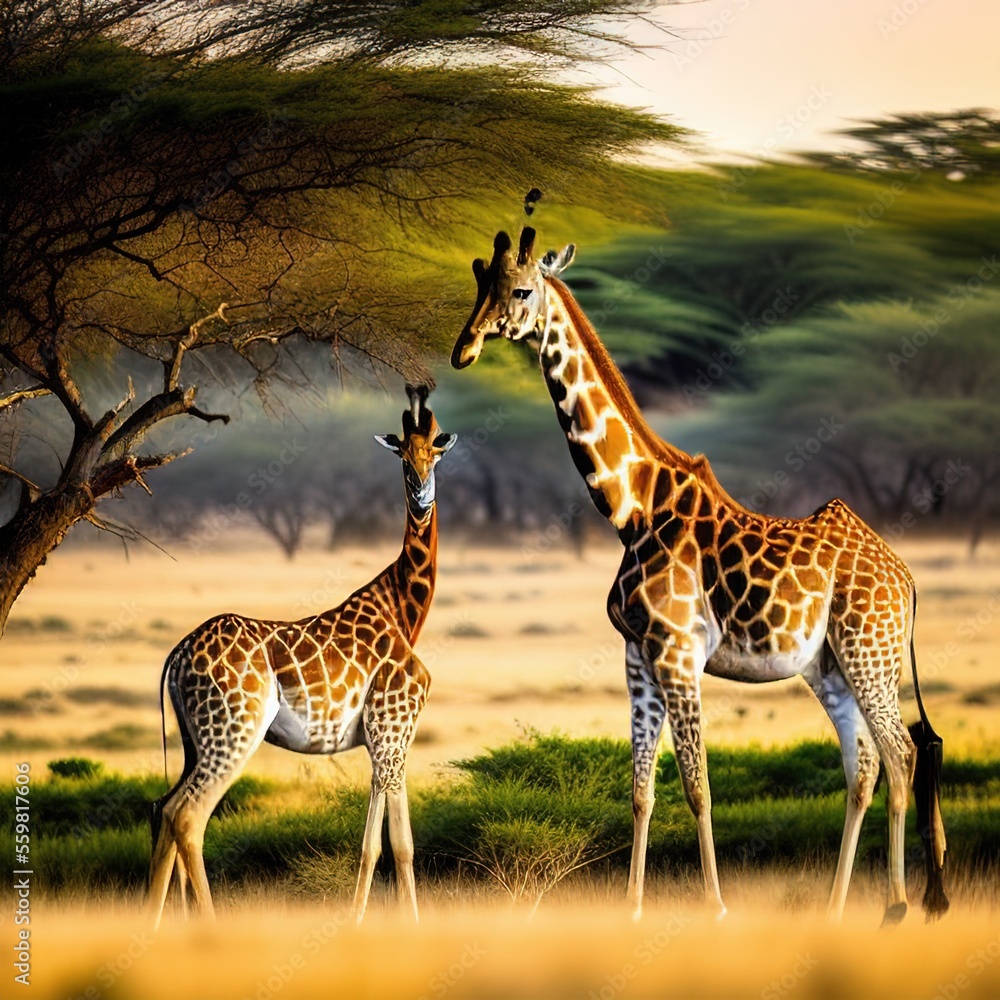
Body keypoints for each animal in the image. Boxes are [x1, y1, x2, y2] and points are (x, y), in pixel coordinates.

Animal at [147, 387, 456, 929]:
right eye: (402, 458)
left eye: (434, 456)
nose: (421, 498)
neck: (403, 606)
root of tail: (178, 655)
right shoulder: (393, 728)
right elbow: (392, 845)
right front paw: (384, 923)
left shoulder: (386, 738)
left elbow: (388, 844)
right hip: (233, 733)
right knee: (186, 815)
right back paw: (208, 929)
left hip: (192, 740)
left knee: (162, 809)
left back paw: (148, 924)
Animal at [451, 227, 948, 924]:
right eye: (477, 281)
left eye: (521, 290)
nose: (464, 349)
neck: (631, 508)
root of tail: (905, 577)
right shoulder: (638, 652)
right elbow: (641, 789)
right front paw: (632, 909)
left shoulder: (679, 650)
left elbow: (698, 786)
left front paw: (714, 907)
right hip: (829, 665)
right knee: (866, 766)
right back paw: (835, 908)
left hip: (867, 650)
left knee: (902, 755)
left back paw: (897, 906)